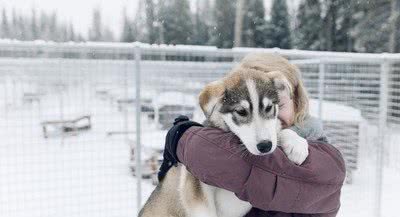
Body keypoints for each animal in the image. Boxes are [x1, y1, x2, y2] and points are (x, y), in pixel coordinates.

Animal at [140, 57, 310, 215]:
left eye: (269, 108)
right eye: (241, 111)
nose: (265, 146)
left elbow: (279, 130)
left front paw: (297, 144)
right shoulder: (194, 186)